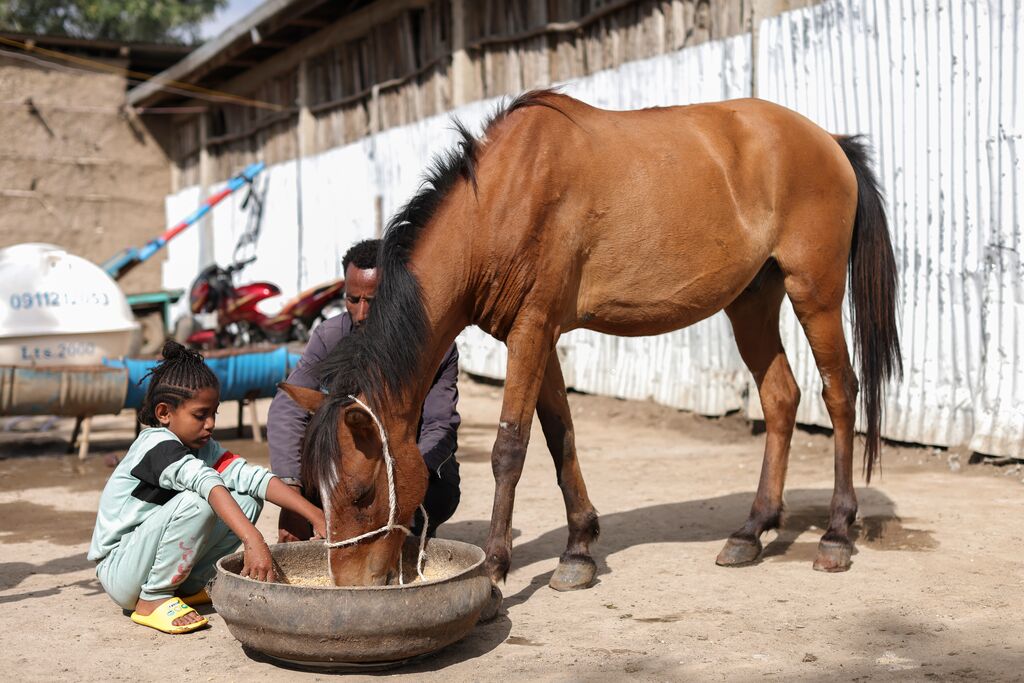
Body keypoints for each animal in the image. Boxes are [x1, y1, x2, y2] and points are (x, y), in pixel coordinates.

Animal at [281, 89, 902, 596]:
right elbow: (561, 437)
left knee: (839, 394)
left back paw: (837, 535)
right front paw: (578, 550)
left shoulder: (532, 330)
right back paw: (751, 531)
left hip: (814, 291)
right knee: (779, 397)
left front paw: (496, 567)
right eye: (320, 491)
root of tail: (830, 142)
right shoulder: (537, 333)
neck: (501, 201)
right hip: (752, 300)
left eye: (363, 494)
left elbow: (510, 447)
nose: (351, 585)